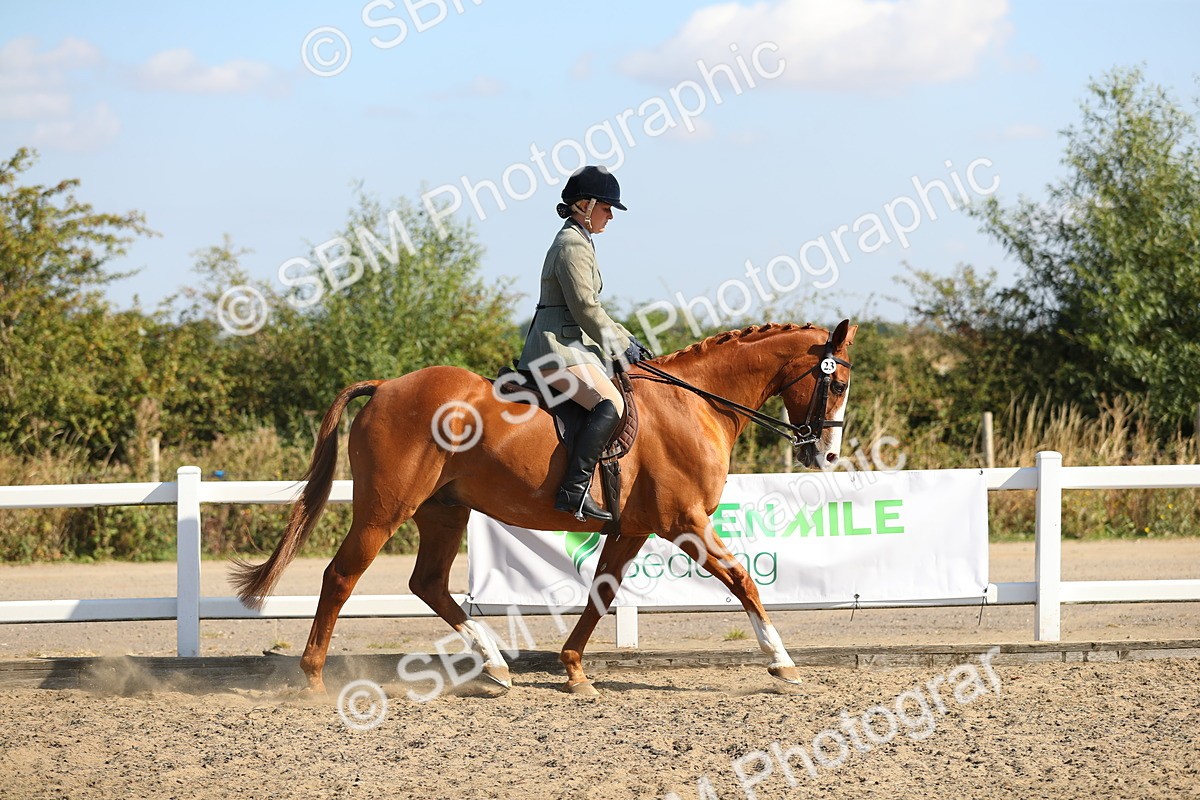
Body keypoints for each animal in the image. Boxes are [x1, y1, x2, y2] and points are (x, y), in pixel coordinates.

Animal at [231, 320, 857, 696]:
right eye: (838, 384)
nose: (825, 454)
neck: (694, 404)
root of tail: (386, 385)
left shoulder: (631, 530)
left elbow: (601, 594)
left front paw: (574, 669)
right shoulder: (686, 524)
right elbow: (744, 581)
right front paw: (781, 661)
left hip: (443, 510)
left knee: (428, 583)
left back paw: (495, 665)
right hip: (385, 511)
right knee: (341, 577)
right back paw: (314, 678)